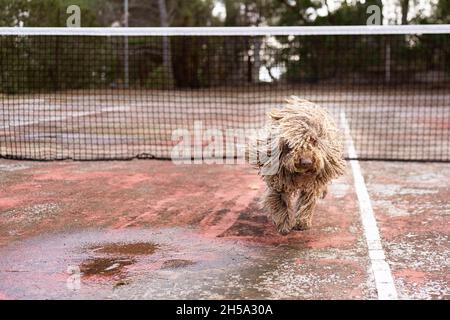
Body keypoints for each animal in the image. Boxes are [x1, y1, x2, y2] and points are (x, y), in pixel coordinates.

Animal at [250, 96, 344, 234]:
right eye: (291, 144)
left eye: (314, 140)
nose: (306, 162)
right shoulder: (278, 182)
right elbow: (280, 201)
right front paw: (284, 223)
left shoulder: (313, 183)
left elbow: (308, 200)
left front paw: (302, 221)